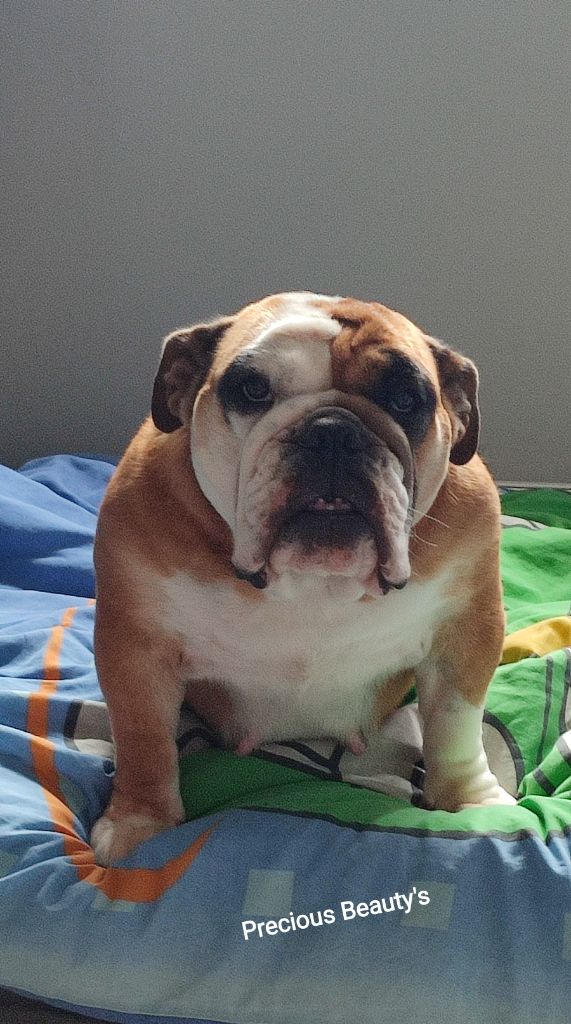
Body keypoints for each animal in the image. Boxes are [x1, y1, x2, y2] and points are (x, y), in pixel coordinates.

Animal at [91, 291, 515, 865]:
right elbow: (143, 740)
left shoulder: (466, 631)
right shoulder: (135, 644)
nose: (332, 432)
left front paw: (471, 801)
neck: (312, 581)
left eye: (406, 399)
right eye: (252, 390)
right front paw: (140, 823)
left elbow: (455, 727)